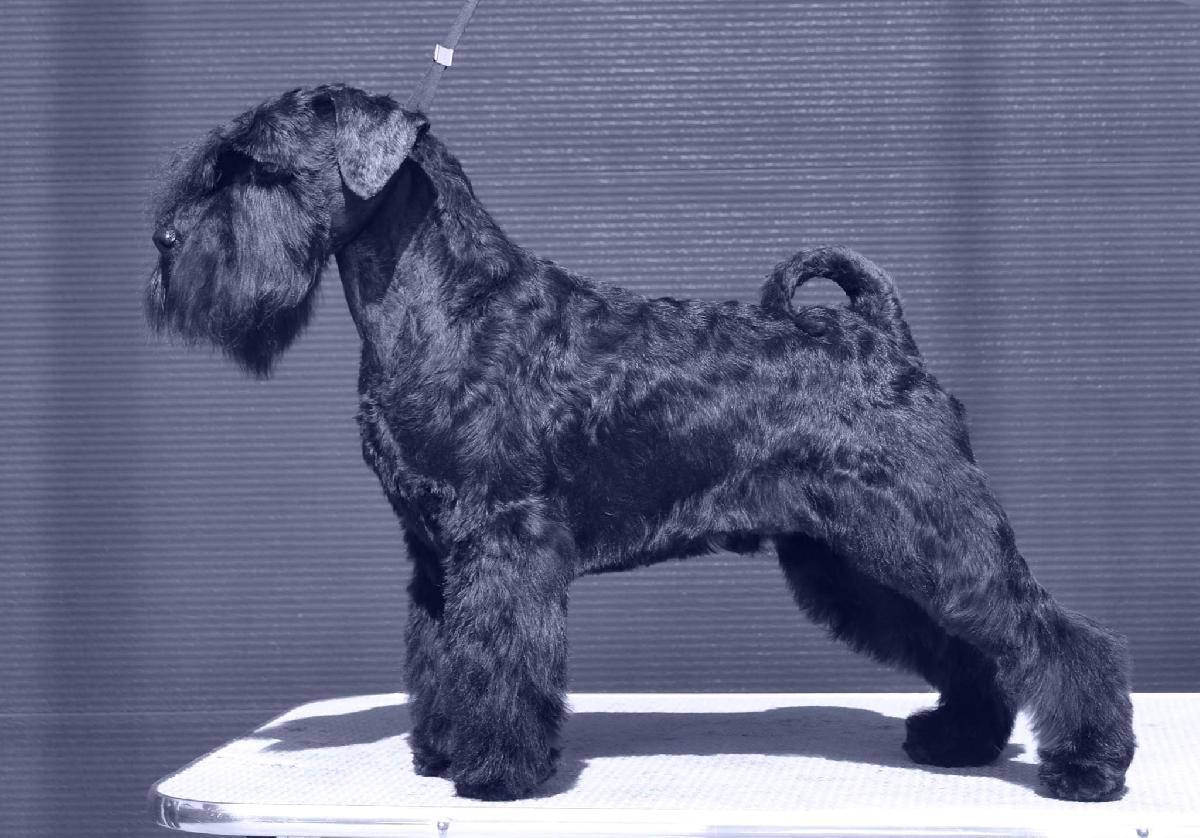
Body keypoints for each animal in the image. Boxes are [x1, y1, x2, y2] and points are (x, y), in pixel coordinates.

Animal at [146, 84, 1135, 802]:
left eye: (257, 168)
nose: (163, 240)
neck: (446, 304)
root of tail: (883, 335)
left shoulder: (505, 539)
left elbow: (498, 656)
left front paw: (495, 771)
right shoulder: (434, 549)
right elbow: (443, 655)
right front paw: (442, 751)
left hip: (930, 533)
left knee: (1056, 635)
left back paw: (1087, 765)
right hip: (856, 556)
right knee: (971, 646)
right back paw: (960, 738)